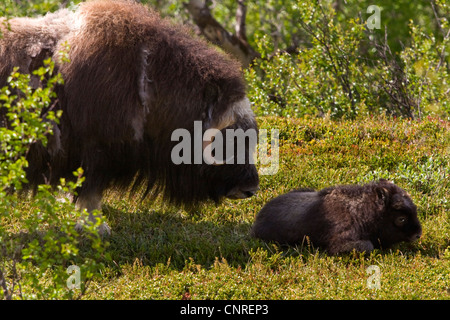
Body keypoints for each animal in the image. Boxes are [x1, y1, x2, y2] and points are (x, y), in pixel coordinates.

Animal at [0, 0, 258, 235]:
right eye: (229, 137)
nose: (251, 189)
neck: (151, 84)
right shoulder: (96, 151)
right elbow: (91, 192)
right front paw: (97, 228)